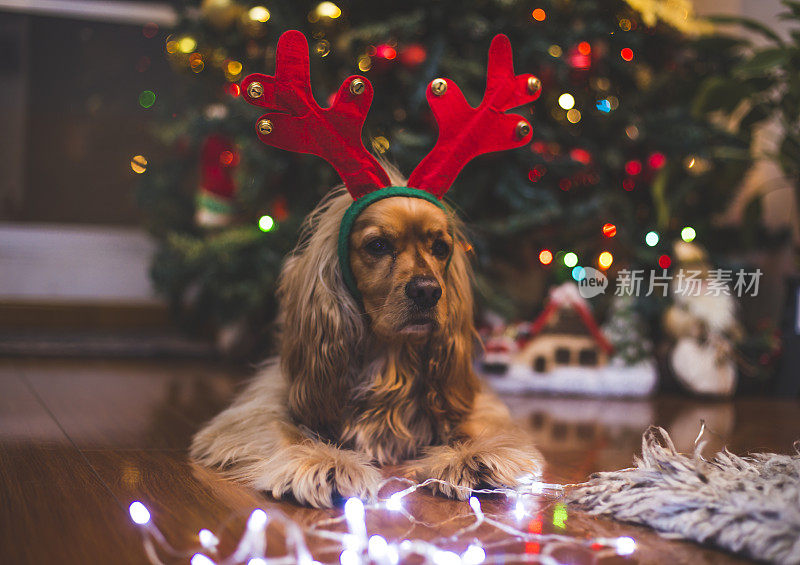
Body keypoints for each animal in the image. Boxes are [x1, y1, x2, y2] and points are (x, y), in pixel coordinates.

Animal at [192, 29, 544, 506]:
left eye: (440, 247)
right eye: (377, 245)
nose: (428, 291)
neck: (389, 362)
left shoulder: (478, 404)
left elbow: (482, 428)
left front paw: (474, 458)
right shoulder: (258, 408)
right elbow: (284, 432)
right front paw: (323, 463)